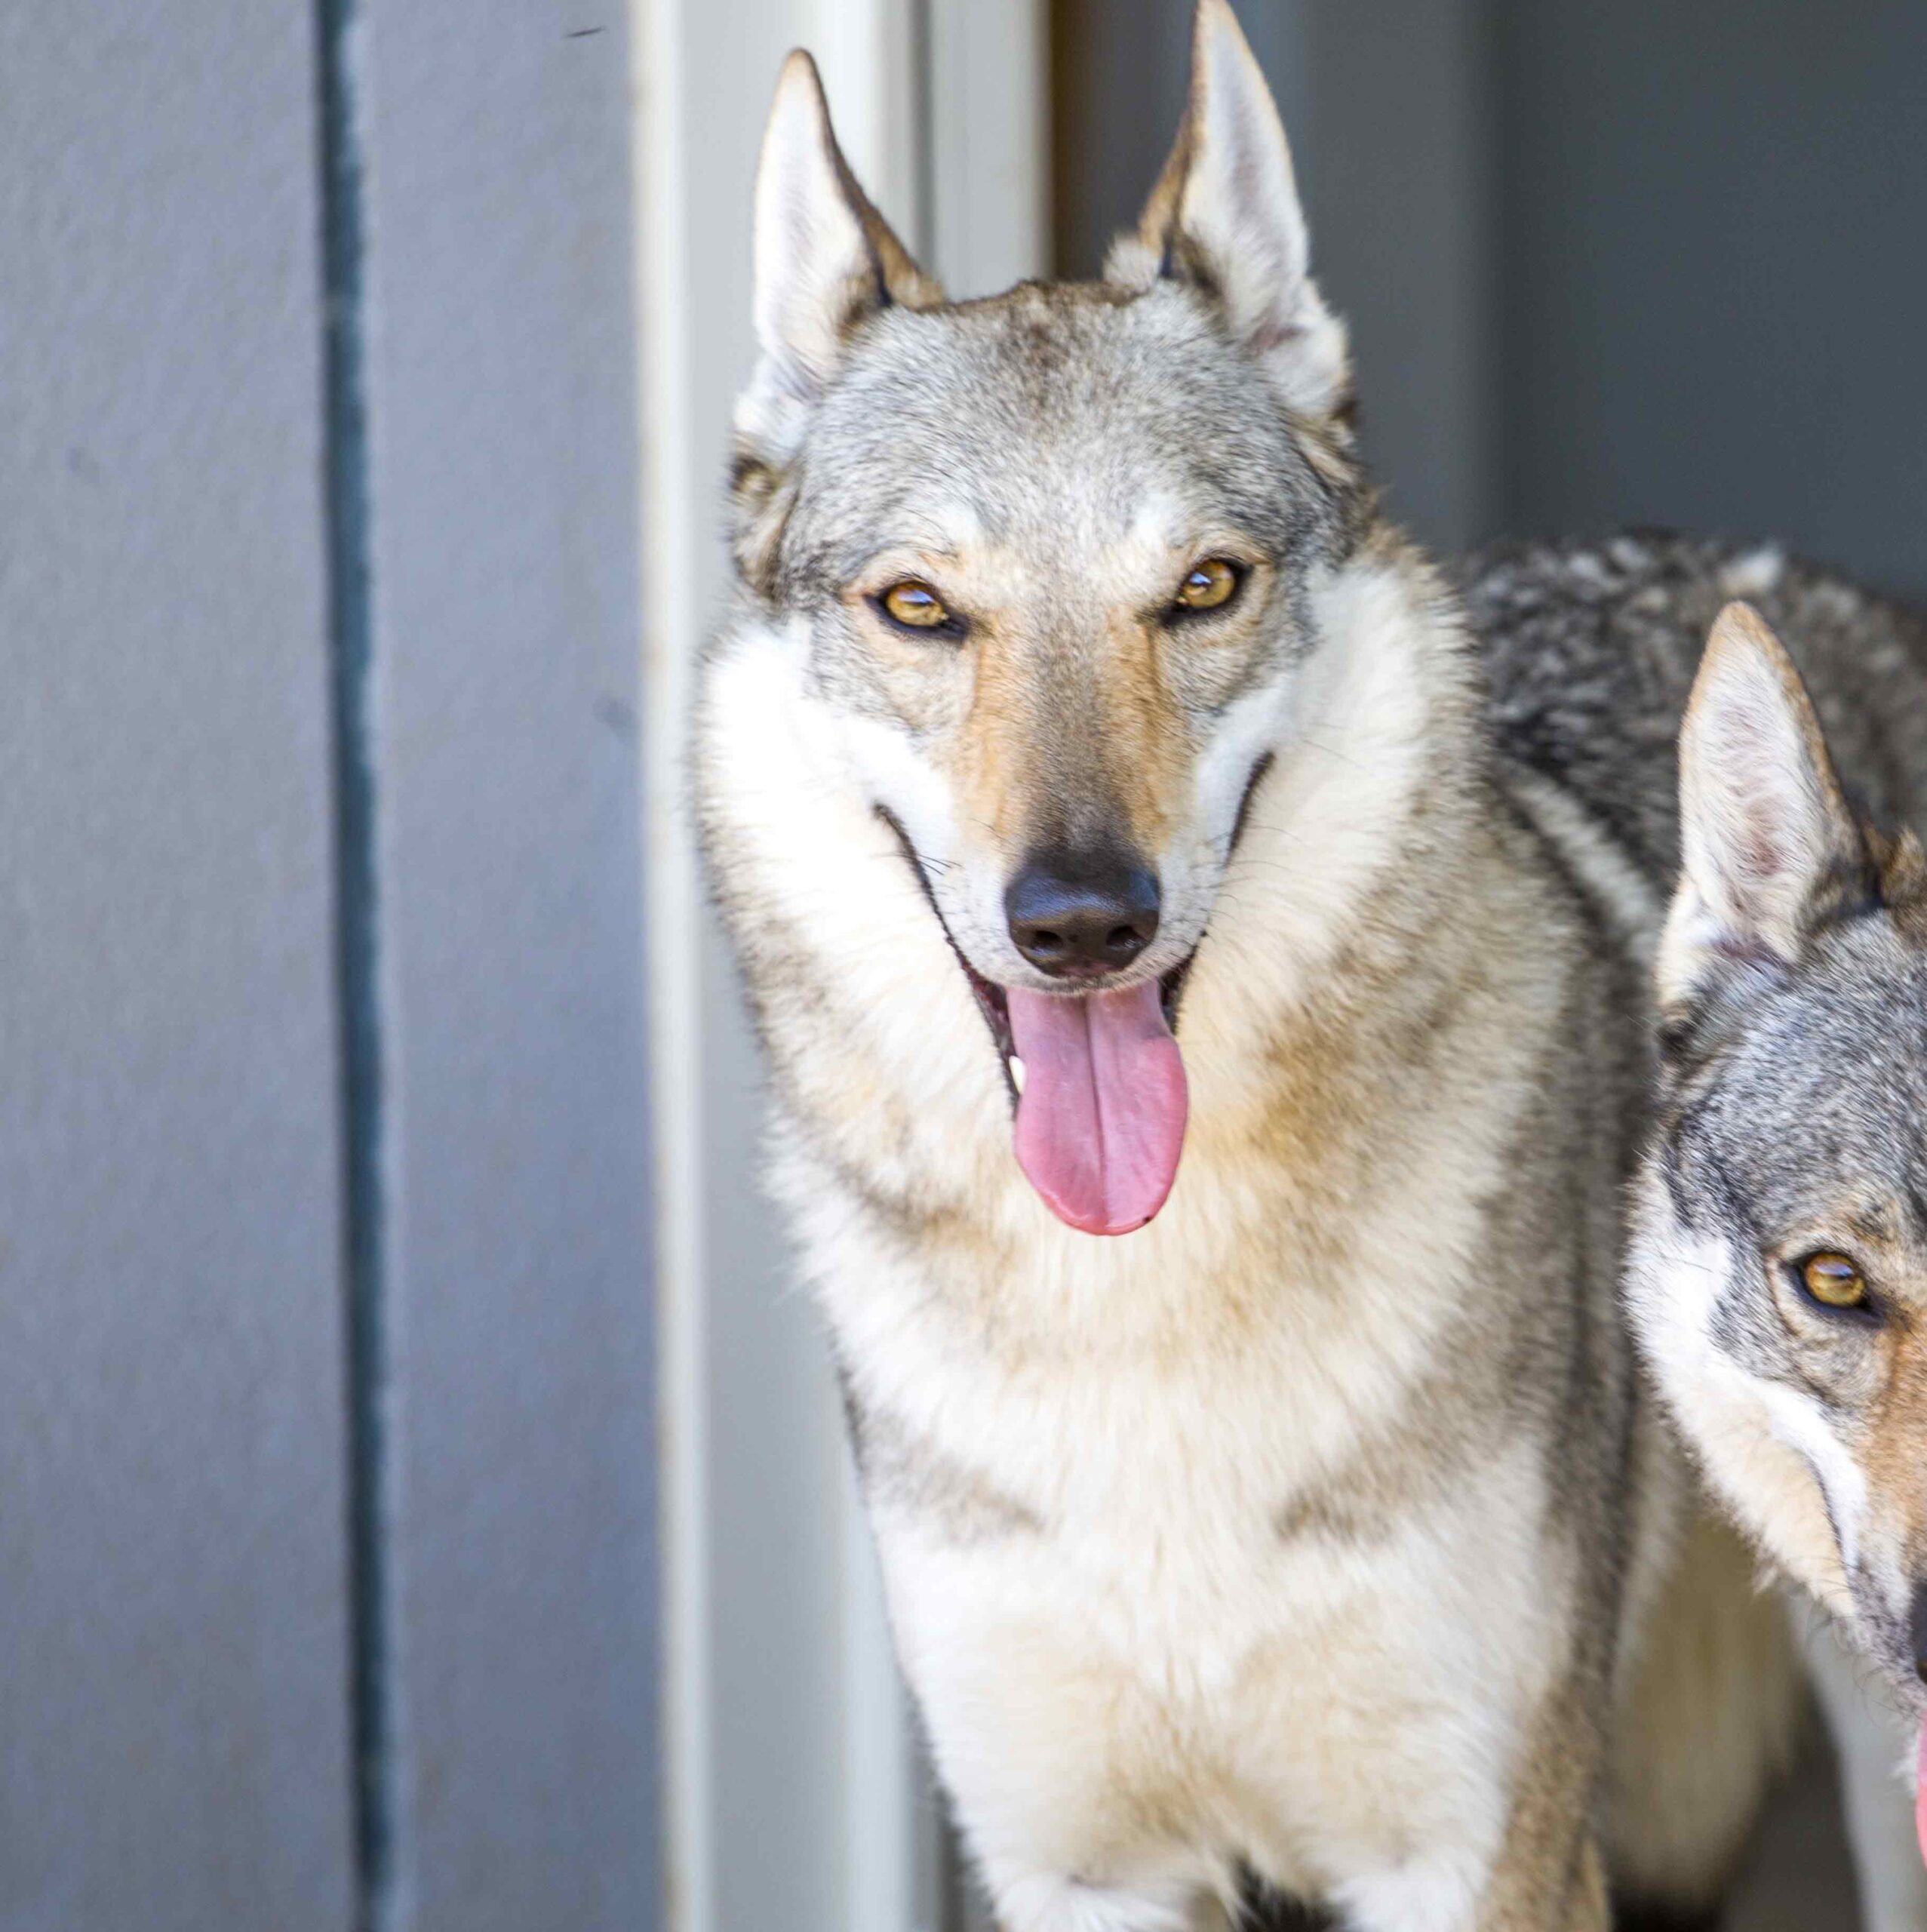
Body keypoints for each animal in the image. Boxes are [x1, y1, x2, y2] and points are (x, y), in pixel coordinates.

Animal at [695, 6, 1785, 1926]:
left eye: (1200, 588)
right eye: (919, 608)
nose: (1079, 920)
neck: (1132, 1315)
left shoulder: (1476, 1851)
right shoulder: (1071, 1864)